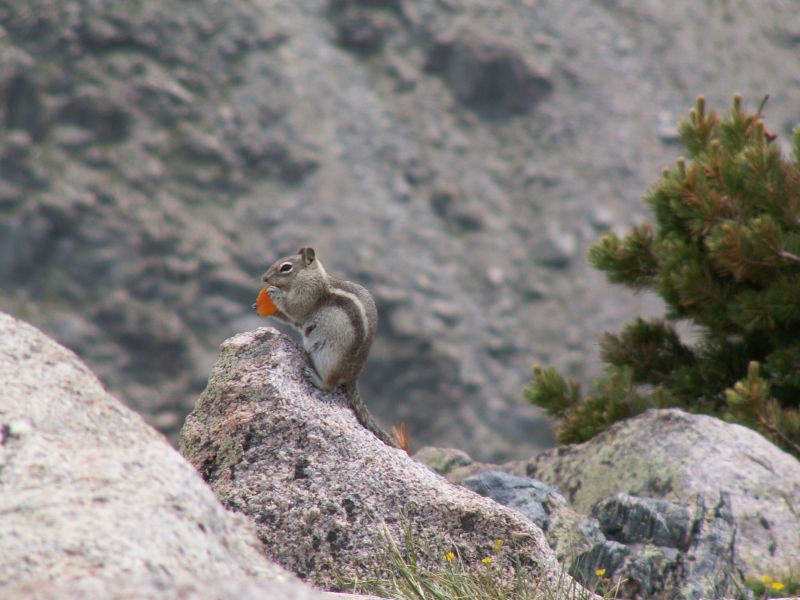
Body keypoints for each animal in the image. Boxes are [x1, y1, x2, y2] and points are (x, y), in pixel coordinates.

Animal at [259, 247, 399, 448]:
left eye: (286, 267)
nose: (264, 278)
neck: (312, 277)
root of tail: (353, 377)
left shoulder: (308, 295)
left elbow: (294, 308)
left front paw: (274, 293)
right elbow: (291, 317)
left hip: (328, 359)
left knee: (330, 385)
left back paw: (315, 378)